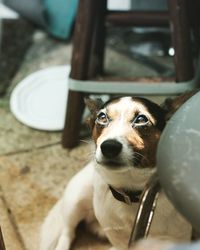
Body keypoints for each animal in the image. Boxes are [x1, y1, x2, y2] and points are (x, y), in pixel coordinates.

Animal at [40, 95, 192, 250]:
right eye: (102, 117)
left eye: (141, 119)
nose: (109, 147)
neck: (131, 194)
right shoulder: (117, 237)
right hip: (76, 198)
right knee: (68, 231)